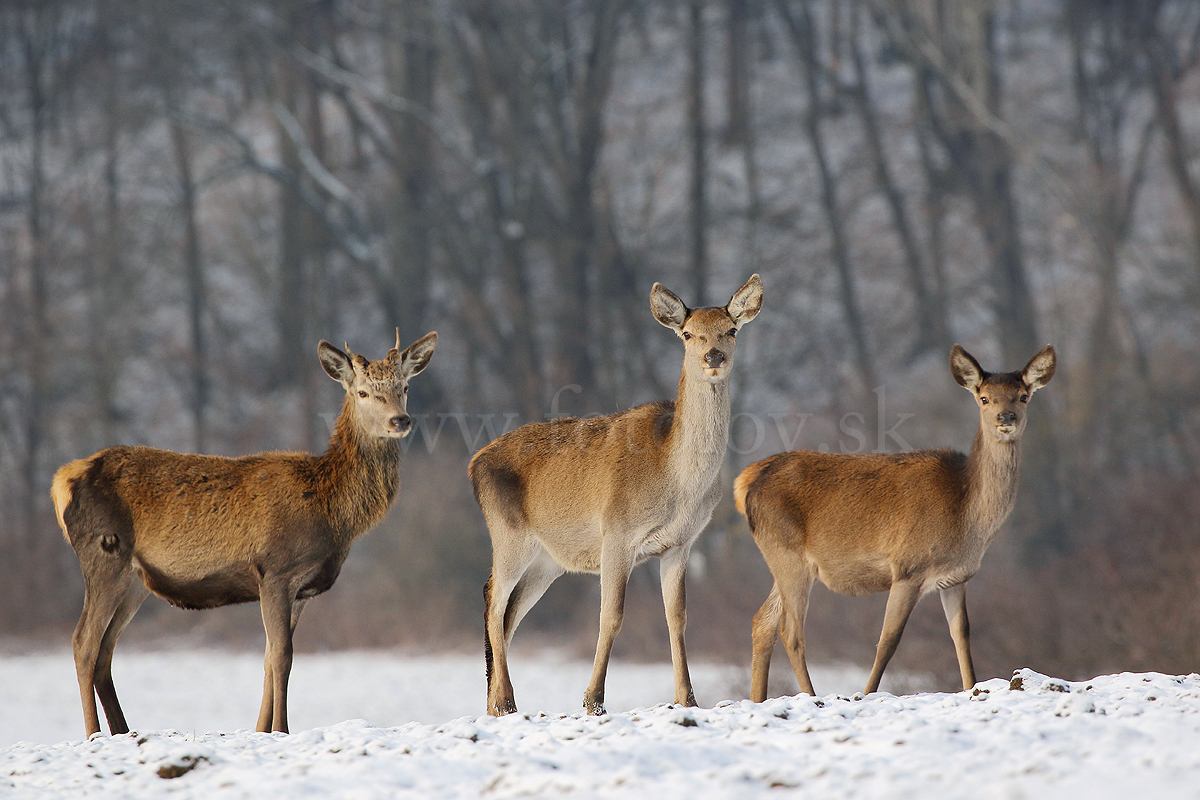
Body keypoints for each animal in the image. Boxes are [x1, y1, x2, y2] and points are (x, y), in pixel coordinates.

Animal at [52, 328, 436, 734]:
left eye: (405, 386)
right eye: (362, 392)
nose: (400, 420)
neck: (331, 512)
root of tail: (63, 480)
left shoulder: (302, 589)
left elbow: (268, 658)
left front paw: (262, 730)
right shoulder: (275, 570)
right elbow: (282, 655)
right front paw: (282, 729)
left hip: (135, 580)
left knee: (106, 650)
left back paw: (122, 731)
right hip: (103, 553)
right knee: (84, 643)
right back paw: (94, 734)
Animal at [468, 277, 758, 719]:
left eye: (731, 330)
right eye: (688, 334)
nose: (714, 356)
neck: (679, 483)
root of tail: (474, 464)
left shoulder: (681, 543)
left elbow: (677, 617)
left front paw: (687, 697)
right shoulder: (617, 534)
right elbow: (612, 616)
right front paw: (594, 700)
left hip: (549, 560)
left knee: (509, 611)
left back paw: (494, 704)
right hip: (508, 534)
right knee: (493, 599)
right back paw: (504, 699)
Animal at [734, 345, 1056, 700]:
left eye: (1023, 396)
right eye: (984, 398)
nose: (1006, 418)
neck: (966, 515)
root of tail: (746, 481)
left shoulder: (957, 578)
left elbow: (961, 635)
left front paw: (972, 687)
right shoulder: (908, 567)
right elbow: (888, 640)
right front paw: (867, 692)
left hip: (782, 560)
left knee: (762, 621)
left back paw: (758, 698)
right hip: (787, 554)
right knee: (790, 631)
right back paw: (810, 695)